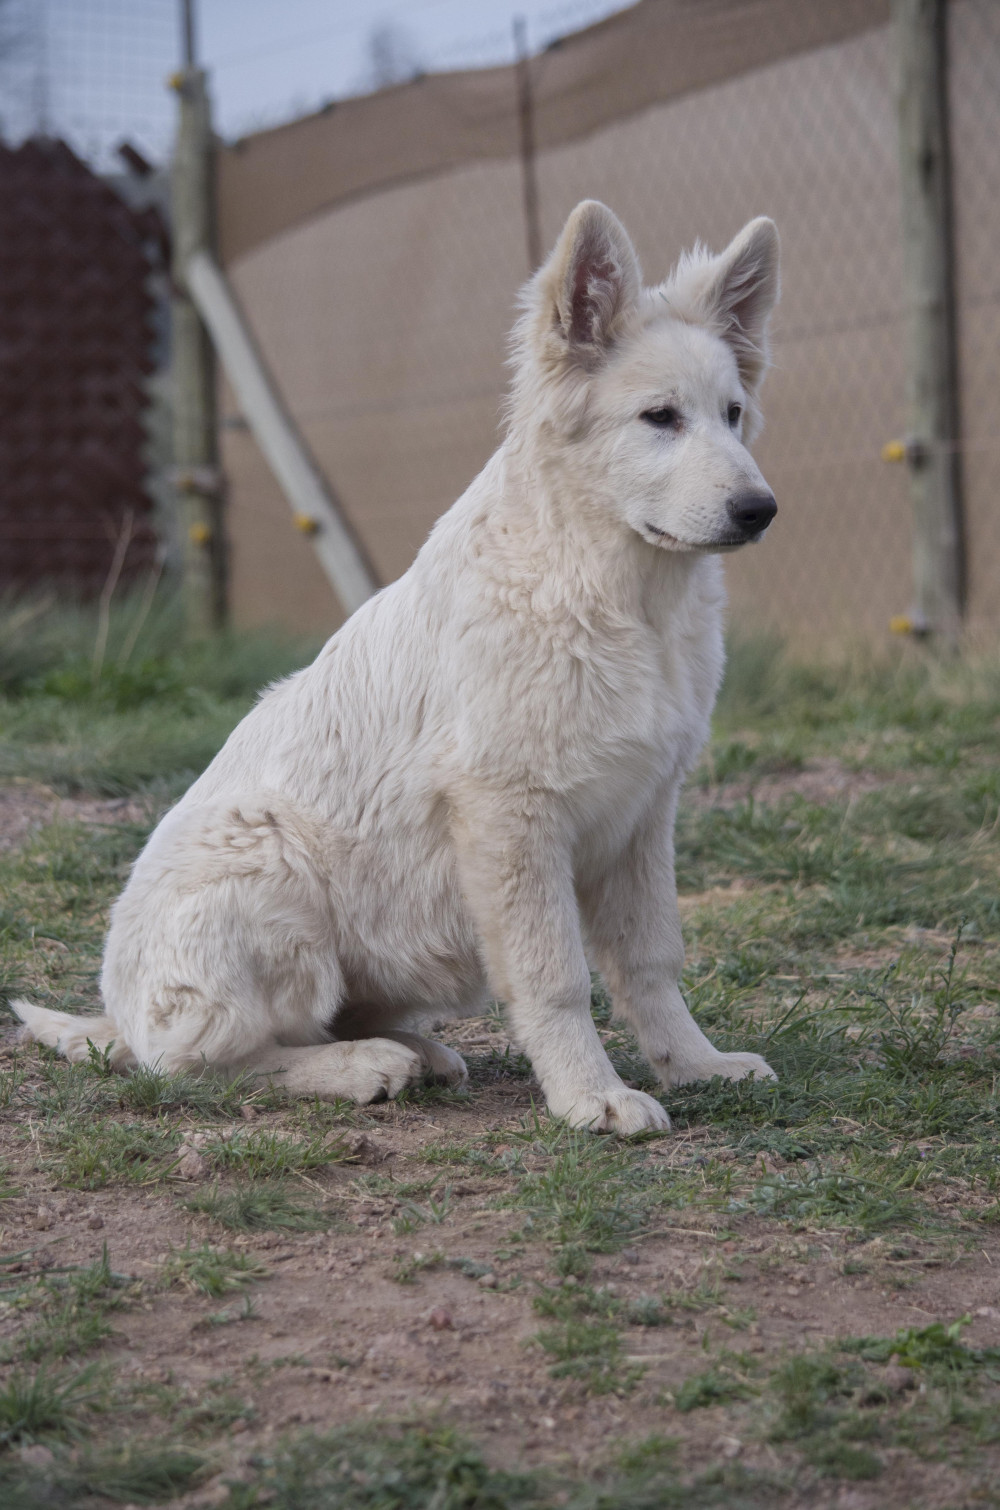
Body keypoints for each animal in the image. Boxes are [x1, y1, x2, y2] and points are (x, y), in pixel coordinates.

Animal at [14, 201, 781, 1135]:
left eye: (733, 414)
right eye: (660, 418)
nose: (759, 510)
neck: (615, 593)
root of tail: (118, 1017)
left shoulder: (643, 813)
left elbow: (652, 959)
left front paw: (695, 1065)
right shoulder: (513, 815)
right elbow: (557, 974)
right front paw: (589, 1095)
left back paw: (415, 1050)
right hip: (271, 871)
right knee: (200, 1062)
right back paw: (361, 1068)